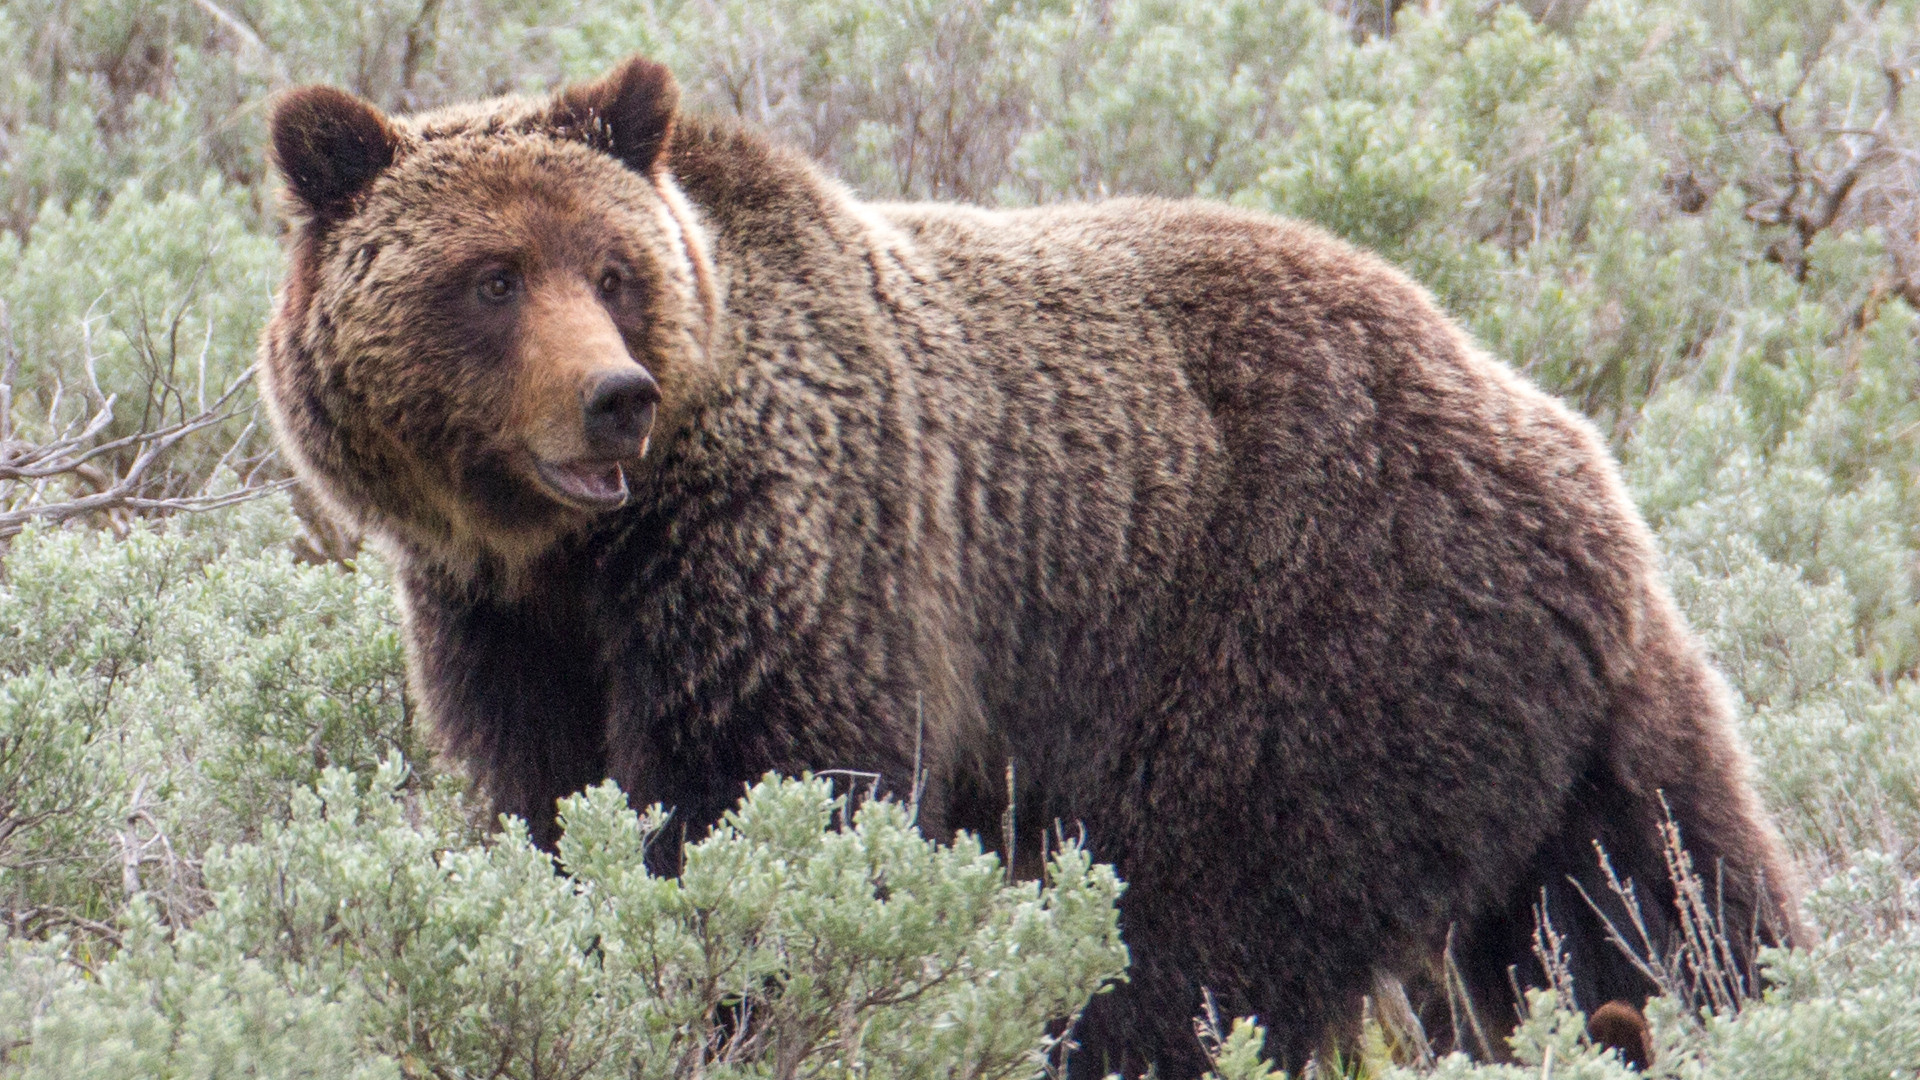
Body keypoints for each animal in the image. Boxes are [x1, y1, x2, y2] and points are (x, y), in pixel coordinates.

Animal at [255, 56, 1797, 1068]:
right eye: (492, 277)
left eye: (613, 269)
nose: (612, 396)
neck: (580, 550)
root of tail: (1567, 443)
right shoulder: (504, 627)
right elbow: (551, 806)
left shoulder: (794, 552)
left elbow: (767, 801)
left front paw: (740, 997)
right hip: (1553, 717)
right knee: (1655, 899)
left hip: (1310, 638)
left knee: (1194, 938)